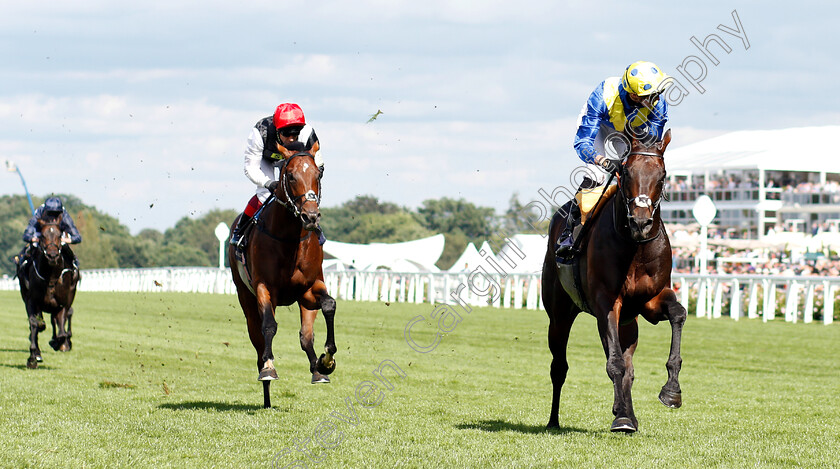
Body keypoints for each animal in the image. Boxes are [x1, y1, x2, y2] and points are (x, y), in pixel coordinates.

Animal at [17, 218, 80, 368]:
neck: (51, 276)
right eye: (43, 236)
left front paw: (58, 343)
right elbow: (35, 324)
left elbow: (61, 332)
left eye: (59, 235)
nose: (52, 255)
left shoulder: (61, 304)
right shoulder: (32, 301)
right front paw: (33, 357)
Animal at [230, 144, 338, 408]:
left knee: (305, 336)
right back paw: (266, 388)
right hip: (245, 297)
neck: (289, 238)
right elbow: (269, 326)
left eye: (318, 174)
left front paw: (326, 361)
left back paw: (317, 369)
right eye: (290, 176)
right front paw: (269, 368)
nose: (311, 216)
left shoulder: (309, 289)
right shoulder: (265, 288)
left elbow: (328, 306)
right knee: (258, 339)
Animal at [540, 128, 684, 432]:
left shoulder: (650, 301)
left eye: (663, 175)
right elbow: (614, 363)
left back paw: (627, 413)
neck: (635, 247)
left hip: (629, 322)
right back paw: (555, 420)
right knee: (559, 367)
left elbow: (678, 313)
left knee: (628, 366)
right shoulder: (607, 303)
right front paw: (622, 417)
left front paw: (671, 391)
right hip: (559, 315)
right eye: (626, 173)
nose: (641, 223)